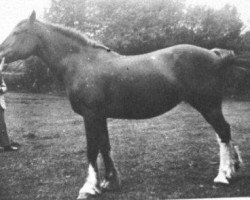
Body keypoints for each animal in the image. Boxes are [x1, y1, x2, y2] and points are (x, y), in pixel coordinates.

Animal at [0, 11, 243, 199]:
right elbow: (104, 146)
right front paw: (110, 182)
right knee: (223, 133)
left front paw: (89, 188)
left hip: (208, 105)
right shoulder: (100, 116)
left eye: (18, 32)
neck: (82, 63)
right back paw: (234, 168)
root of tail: (214, 54)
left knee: (223, 132)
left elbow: (92, 148)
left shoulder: (90, 115)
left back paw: (223, 176)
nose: (0, 53)